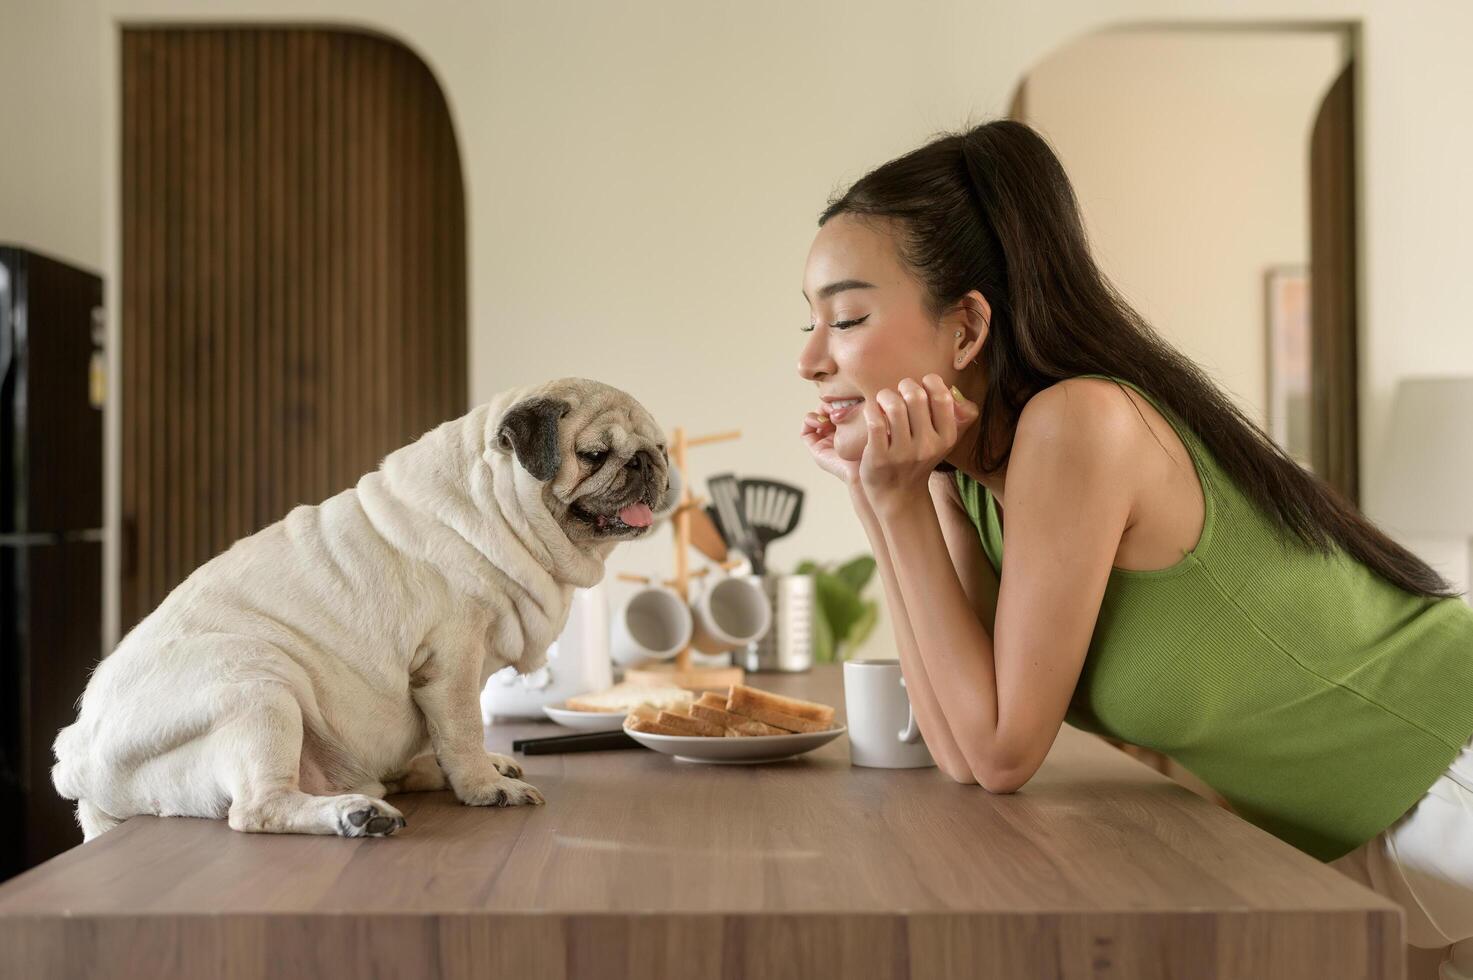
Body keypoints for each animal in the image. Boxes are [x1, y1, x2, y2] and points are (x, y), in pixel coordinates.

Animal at [51, 377, 671, 837]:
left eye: (661, 448)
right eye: (594, 455)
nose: (647, 463)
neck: (492, 508)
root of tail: (77, 761)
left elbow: (455, 734)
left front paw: (478, 770)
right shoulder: (452, 661)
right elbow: (464, 727)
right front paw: (483, 786)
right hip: (258, 687)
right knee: (257, 808)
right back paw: (356, 815)